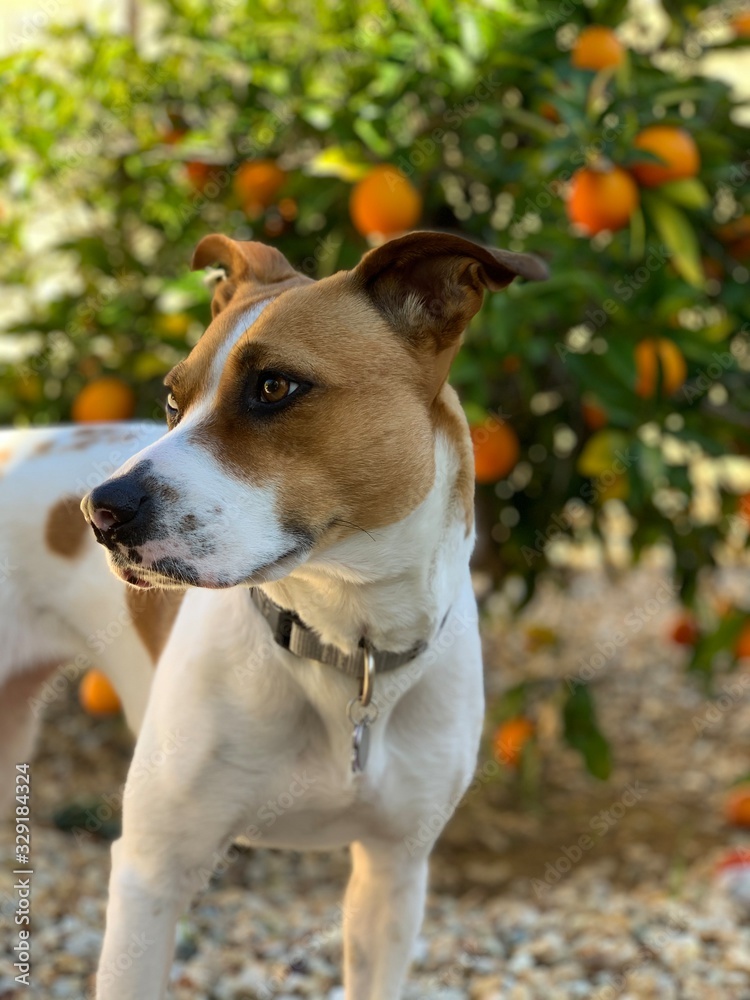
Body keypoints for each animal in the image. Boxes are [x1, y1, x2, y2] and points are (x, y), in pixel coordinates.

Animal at [0, 230, 548, 996]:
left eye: (274, 387)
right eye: (173, 401)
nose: (99, 512)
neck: (346, 642)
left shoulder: (394, 874)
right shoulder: (151, 876)